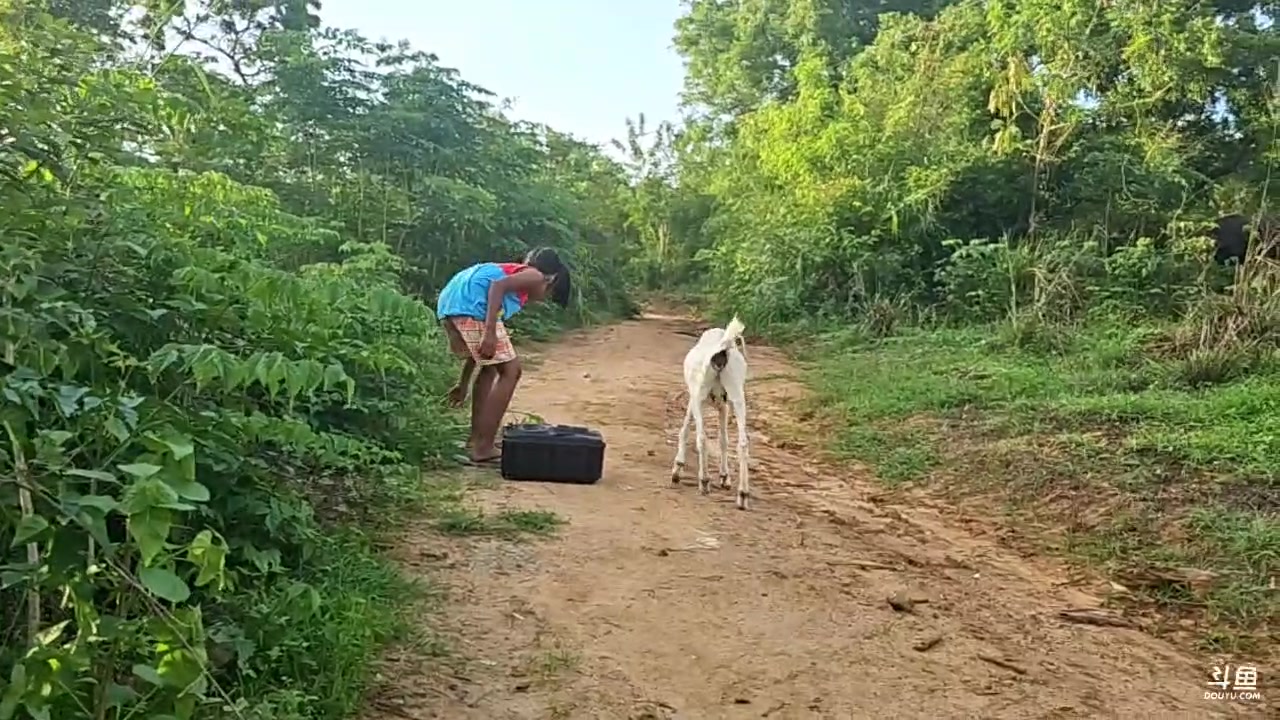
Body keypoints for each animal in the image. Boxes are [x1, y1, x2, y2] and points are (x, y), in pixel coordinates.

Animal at [670, 316, 747, 507]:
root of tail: (722, 348)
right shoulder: (724, 405)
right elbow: (723, 440)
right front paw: (725, 477)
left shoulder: (695, 395)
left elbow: (685, 428)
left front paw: (677, 468)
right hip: (737, 396)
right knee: (743, 443)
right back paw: (742, 494)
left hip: (700, 395)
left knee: (702, 437)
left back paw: (704, 481)